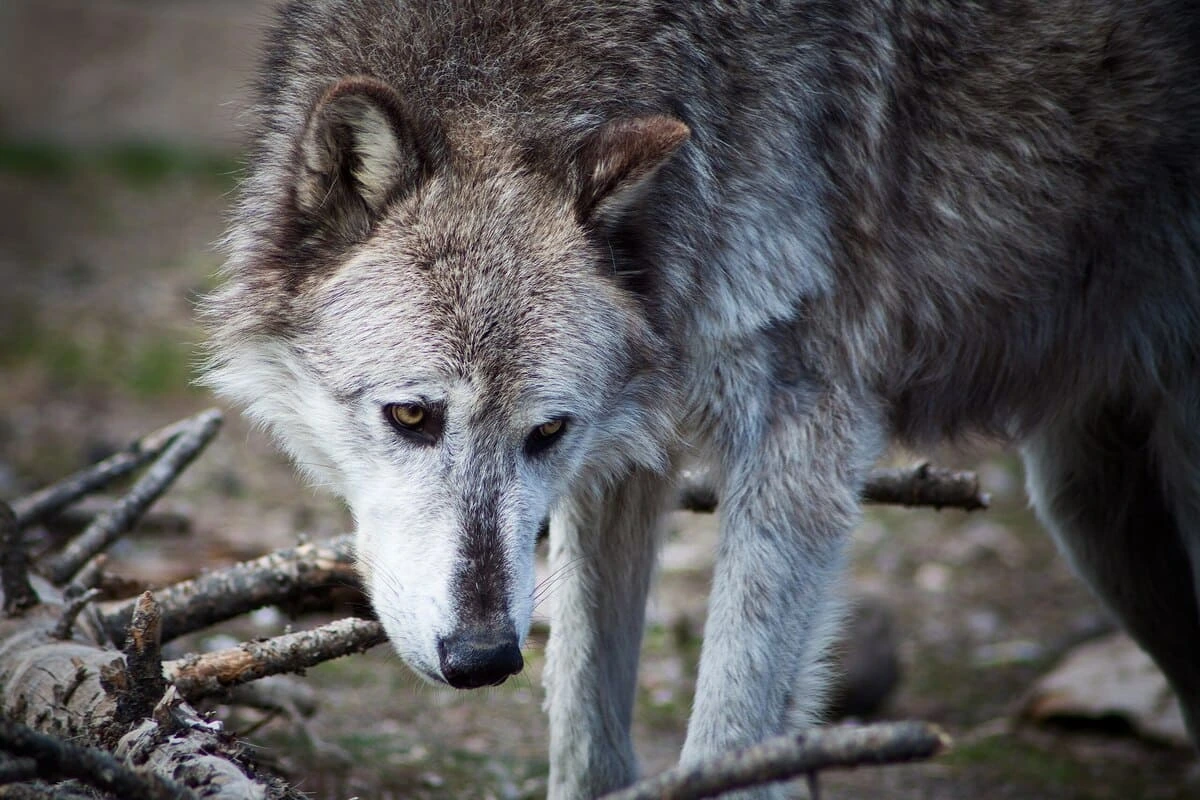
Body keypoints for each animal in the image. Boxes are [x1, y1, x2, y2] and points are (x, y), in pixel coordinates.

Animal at [202, 0, 1200, 796]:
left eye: (547, 431)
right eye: (411, 415)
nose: (484, 659)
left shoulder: (803, 437)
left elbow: (728, 741)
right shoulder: (623, 464)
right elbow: (588, 740)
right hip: (1092, 511)